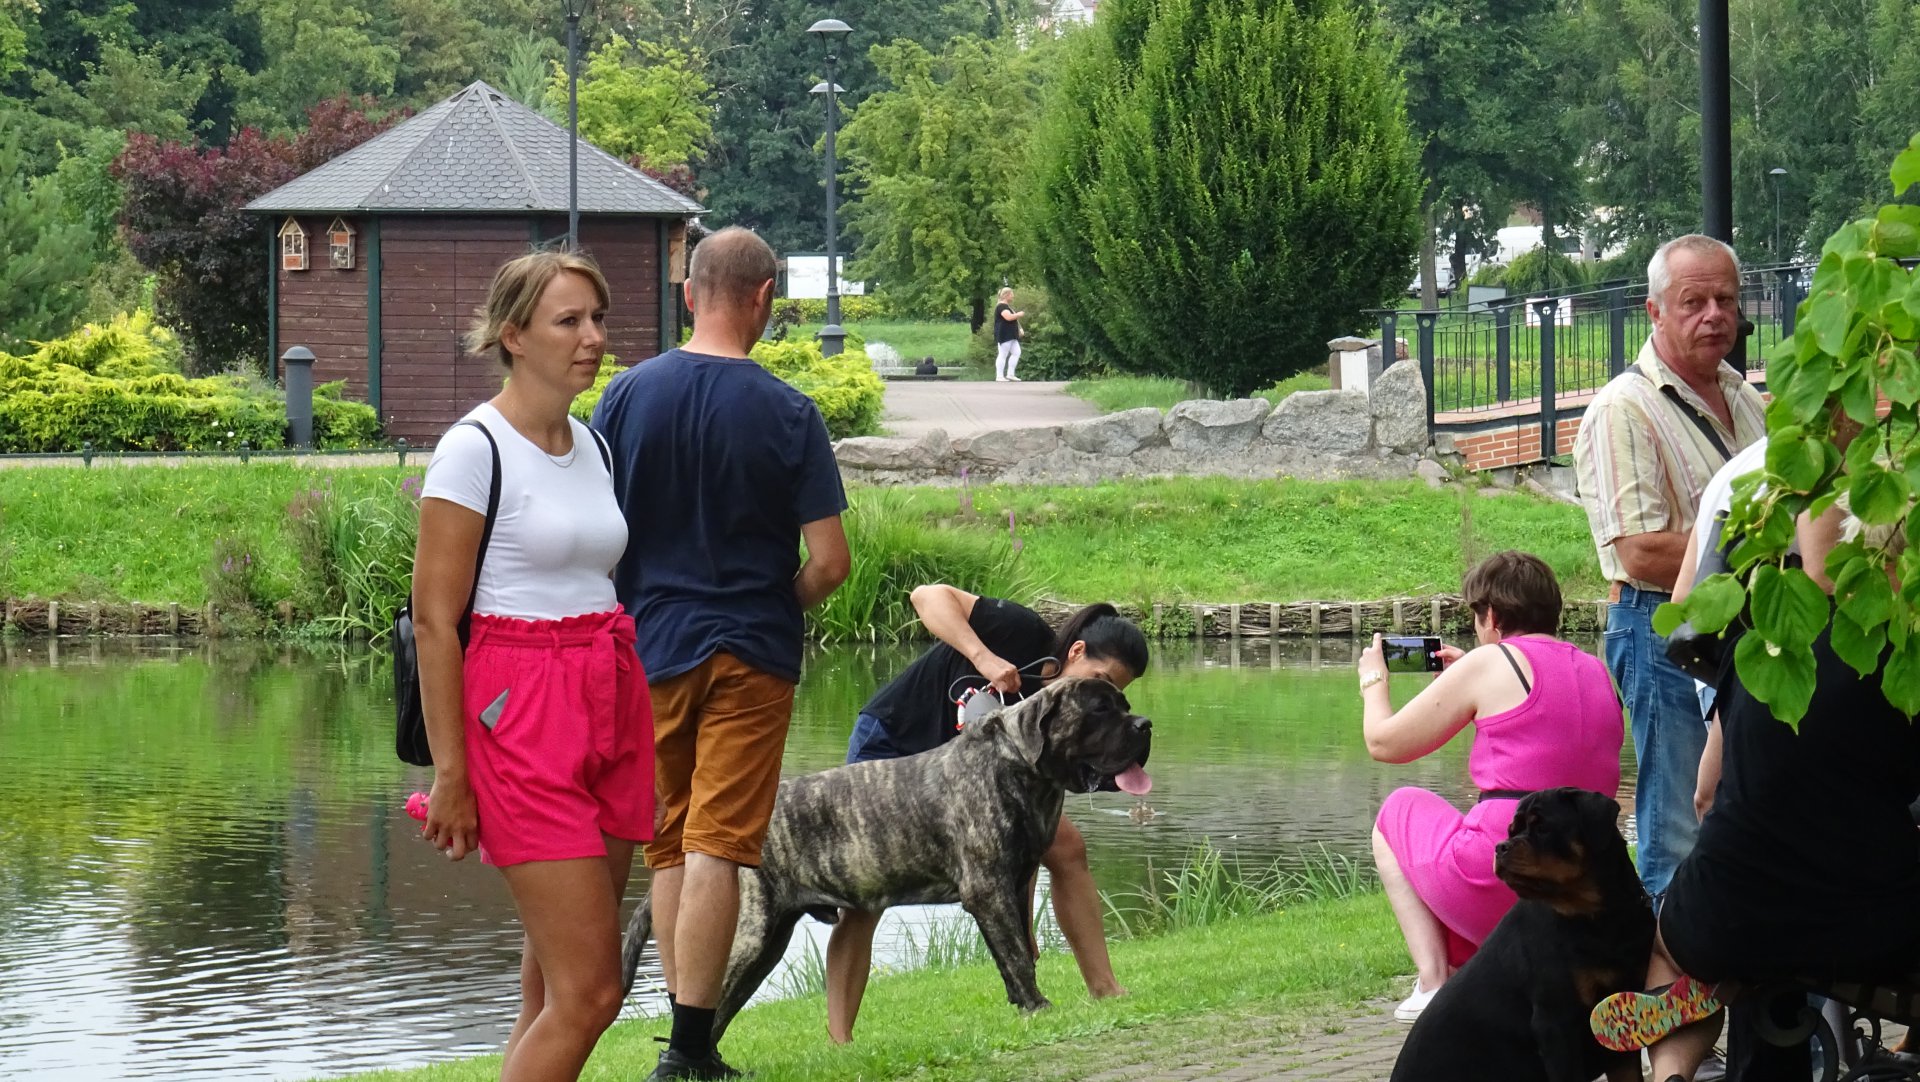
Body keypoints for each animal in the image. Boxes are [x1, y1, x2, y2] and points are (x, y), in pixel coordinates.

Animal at [1389, 787, 1655, 1082]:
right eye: (1511, 830)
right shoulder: (1556, 1024)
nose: (1500, 847)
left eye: (1542, 827)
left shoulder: (1618, 1014)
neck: (1599, 917)